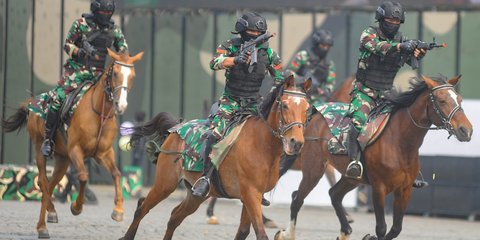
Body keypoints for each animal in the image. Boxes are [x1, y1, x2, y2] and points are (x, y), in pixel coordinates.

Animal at [2, 48, 144, 238]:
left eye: (132, 76)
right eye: (115, 73)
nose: (120, 105)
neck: (99, 113)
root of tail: (33, 102)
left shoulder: (104, 154)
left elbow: (116, 174)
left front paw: (118, 211)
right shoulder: (76, 150)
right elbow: (83, 177)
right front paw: (77, 206)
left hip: (63, 159)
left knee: (48, 185)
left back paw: (51, 213)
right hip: (40, 148)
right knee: (43, 181)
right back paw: (42, 227)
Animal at [121, 75, 312, 240]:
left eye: (307, 109)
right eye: (285, 105)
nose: (296, 142)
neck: (262, 145)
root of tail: (176, 128)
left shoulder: (253, 196)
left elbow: (243, 232)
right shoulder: (250, 194)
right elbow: (260, 234)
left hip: (196, 195)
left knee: (175, 217)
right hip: (165, 184)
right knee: (142, 208)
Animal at [274, 75, 472, 240]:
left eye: (460, 99)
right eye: (442, 100)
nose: (466, 130)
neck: (399, 142)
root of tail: (313, 115)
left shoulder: (405, 190)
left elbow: (395, 229)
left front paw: (370, 236)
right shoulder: (379, 188)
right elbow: (382, 228)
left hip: (352, 178)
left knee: (334, 195)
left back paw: (345, 230)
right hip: (314, 169)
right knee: (297, 199)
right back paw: (286, 234)